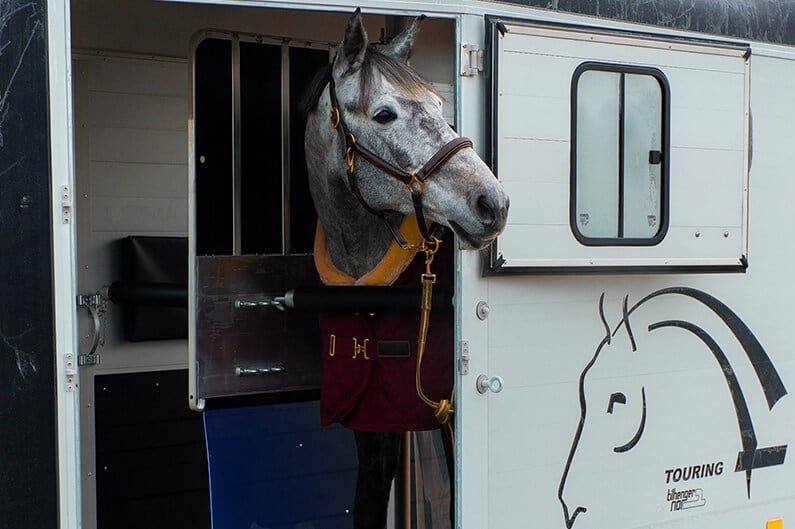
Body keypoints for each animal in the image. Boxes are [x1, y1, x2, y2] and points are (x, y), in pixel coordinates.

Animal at [302, 10, 509, 529]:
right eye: (384, 114)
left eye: (439, 104)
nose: (493, 203)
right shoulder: (374, 420)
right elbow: (368, 504)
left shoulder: (450, 415)